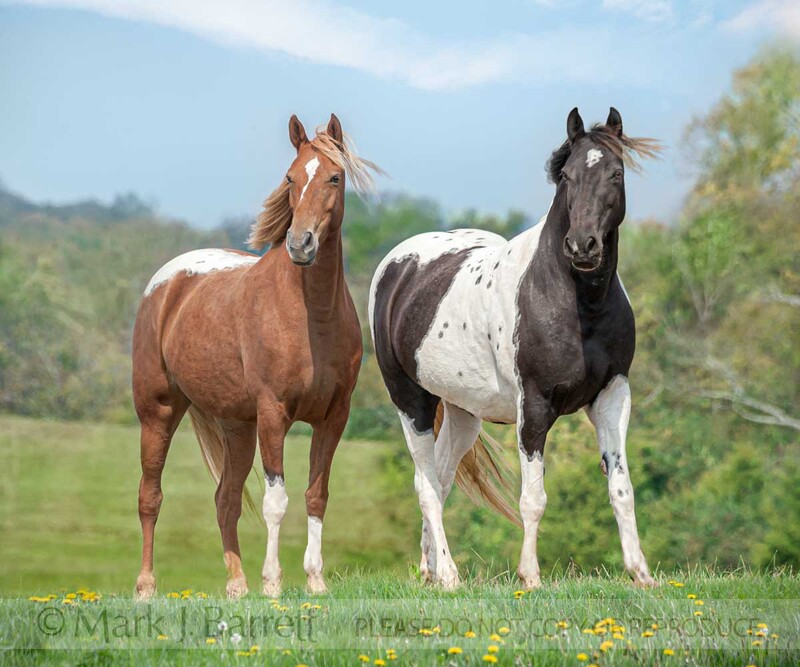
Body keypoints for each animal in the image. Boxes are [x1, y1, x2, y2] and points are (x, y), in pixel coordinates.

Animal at [132, 114, 381, 599]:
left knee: (225, 500)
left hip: (237, 428)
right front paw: (273, 583)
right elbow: (276, 501)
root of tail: (165, 283)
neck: (310, 317)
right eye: (290, 177)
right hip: (159, 412)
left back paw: (237, 585)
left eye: (335, 177)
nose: (301, 244)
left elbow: (316, 495)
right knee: (150, 497)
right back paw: (146, 586)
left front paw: (315, 581)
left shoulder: (333, 417)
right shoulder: (273, 414)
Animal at [368, 107, 661, 590]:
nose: (583, 246)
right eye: (567, 176)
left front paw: (641, 574)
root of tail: (399, 263)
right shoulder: (535, 407)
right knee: (426, 486)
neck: (578, 306)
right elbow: (533, 499)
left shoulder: (613, 396)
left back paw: (431, 571)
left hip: (463, 414)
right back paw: (450, 575)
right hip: (411, 402)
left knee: (442, 481)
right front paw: (530, 576)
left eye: (616, 174)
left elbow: (621, 488)